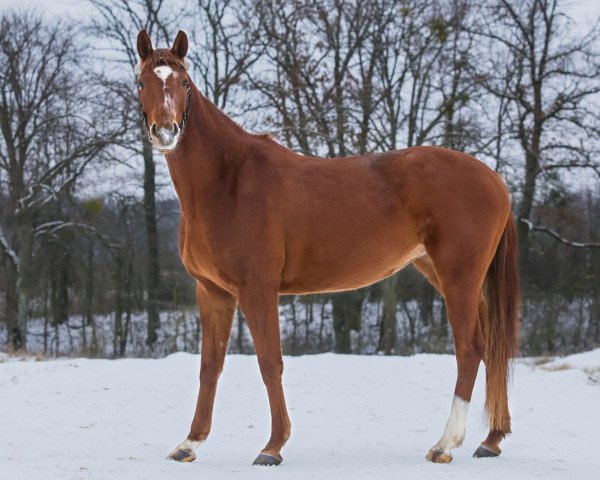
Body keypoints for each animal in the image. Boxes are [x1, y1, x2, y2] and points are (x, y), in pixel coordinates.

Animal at [134, 29, 516, 464]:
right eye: (142, 83)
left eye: (183, 83)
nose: (166, 131)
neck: (227, 181)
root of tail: (495, 180)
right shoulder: (213, 292)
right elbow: (210, 366)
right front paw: (190, 442)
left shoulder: (257, 289)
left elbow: (269, 361)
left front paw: (273, 446)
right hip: (446, 275)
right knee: (494, 345)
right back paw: (491, 439)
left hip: (458, 279)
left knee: (470, 348)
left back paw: (445, 443)